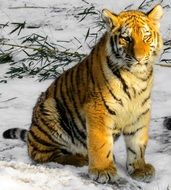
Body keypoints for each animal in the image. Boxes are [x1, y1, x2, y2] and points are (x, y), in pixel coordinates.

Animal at [2, 4, 163, 184]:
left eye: (146, 37)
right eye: (126, 39)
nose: (139, 58)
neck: (136, 76)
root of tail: (31, 133)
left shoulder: (140, 111)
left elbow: (138, 143)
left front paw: (139, 169)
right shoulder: (98, 109)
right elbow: (100, 143)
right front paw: (103, 170)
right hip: (49, 109)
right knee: (42, 154)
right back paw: (81, 158)